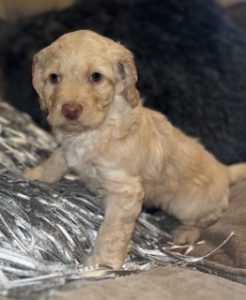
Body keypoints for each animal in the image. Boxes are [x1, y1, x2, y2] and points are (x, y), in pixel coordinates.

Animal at [24, 29, 246, 270]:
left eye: (96, 77)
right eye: (54, 78)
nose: (70, 110)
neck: (94, 131)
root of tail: (224, 169)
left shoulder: (125, 191)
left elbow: (111, 232)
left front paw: (102, 264)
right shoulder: (68, 149)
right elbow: (56, 160)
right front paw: (32, 175)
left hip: (188, 206)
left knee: (208, 218)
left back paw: (186, 232)